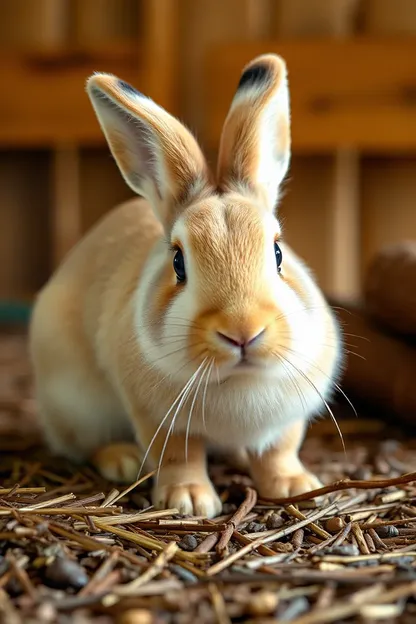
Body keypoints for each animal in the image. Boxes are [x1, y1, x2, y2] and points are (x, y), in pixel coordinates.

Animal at [28, 52, 342, 516]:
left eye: (278, 252)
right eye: (178, 262)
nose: (243, 332)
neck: (237, 379)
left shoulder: (286, 421)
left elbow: (278, 452)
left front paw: (295, 486)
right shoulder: (160, 420)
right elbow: (179, 456)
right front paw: (189, 501)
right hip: (75, 402)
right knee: (84, 443)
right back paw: (122, 460)